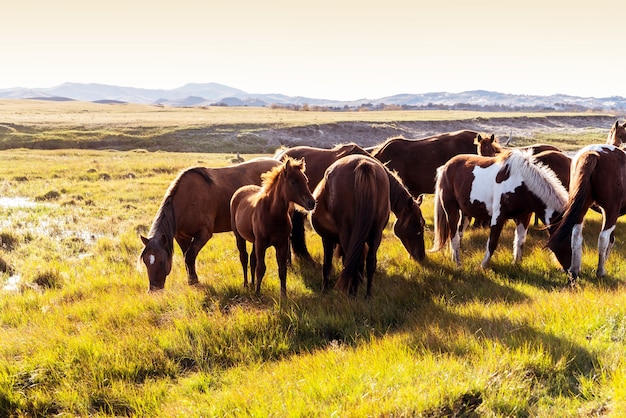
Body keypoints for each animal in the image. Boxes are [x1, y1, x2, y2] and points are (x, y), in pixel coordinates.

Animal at [141, 157, 280, 290]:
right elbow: (186, 257)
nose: (153, 288)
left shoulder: (203, 234)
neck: (188, 200)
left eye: (161, 261)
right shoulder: (182, 237)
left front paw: (194, 281)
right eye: (145, 261)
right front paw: (191, 280)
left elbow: (190, 256)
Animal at [229, 157, 314, 298]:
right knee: (244, 258)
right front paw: (257, 293)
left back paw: (252, 283)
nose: (311, 202)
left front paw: (283, 294)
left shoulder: (282, 244)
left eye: (306, 180)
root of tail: (240, 190)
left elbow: (282, 269)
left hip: (254, 241)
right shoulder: (261, 243)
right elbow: (261, 268)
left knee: (252, 259)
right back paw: (246, 284)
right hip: (240, 236)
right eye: (293, 182)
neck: (273, 214)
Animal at [310, 154, 426, 298]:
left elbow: (328, 263)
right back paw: (367, 295)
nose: (421, 255)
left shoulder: (327, 238)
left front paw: (325, 290)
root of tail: (363, 164)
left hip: (348, 235)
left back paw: (352, 294)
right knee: (370, 262)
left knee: (353, 261)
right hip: (376, 234)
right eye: (415, 224)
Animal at [428, 149, 572, 270]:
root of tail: (446, 167)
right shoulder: (498, 217)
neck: (523, 184)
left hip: (466, 213)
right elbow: (492, 243)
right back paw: (458, 264)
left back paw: (454, 259)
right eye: (566, 244)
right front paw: (483, 266)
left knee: (458, 235)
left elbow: (520, 241)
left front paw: (516, 263)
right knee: (453, 236)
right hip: (451, 210)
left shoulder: (523, 217)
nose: (572, 273)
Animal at [544, 145, 624, 282]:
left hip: (582, 207)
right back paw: (600, 271)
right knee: (603, 238)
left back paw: (574, 270)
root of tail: (592, 154)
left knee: (576, 236)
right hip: (610, 210)